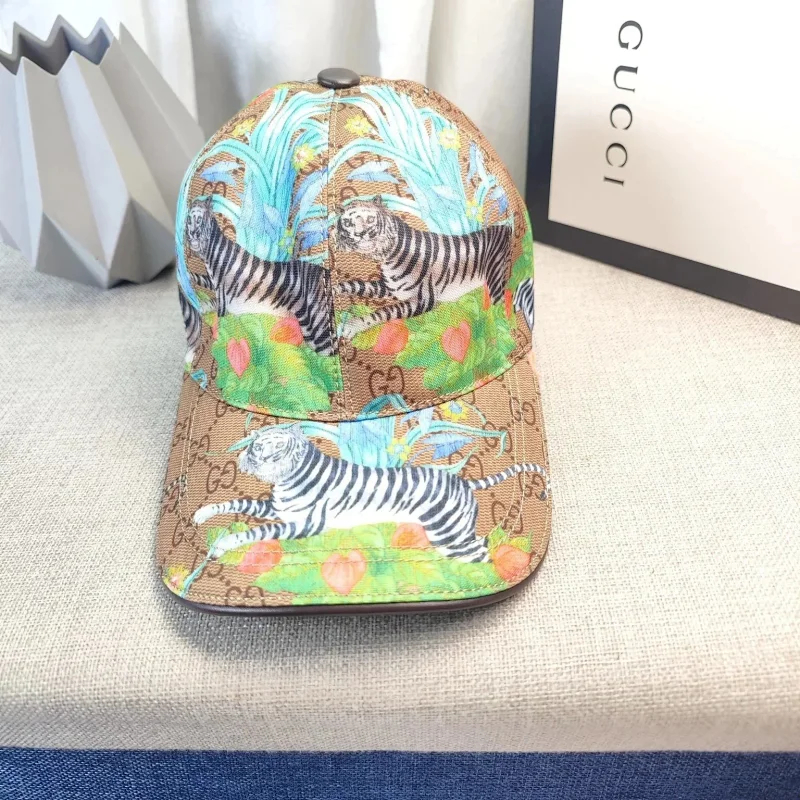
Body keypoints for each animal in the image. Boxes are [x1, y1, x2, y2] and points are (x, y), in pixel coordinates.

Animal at [181, 196, 334, 356]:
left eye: (200, 220)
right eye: (189, 220)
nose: (192, 235)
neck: (214, 254)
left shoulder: (223, 297)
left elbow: (218, 312)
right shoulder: (215, 286)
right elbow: (200, 280)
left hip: (317, 324)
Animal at [193, 425, 549, 564]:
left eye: (256, 449)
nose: (241, 457)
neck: (288, 478)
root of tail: (463, 482)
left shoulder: (303, 524)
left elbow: (256, 531)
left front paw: (221, 544)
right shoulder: (276, 509)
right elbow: (238, 501)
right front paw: (201, 514)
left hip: (446, 532)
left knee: (478, 554)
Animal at [333, 198, 513, 341]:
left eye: (370, 219)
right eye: (347, 223)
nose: (359, 235)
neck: (392, 256)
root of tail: (505, 227)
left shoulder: (424, 300)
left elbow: (385, 311)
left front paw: (353, 325)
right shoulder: (390, 288)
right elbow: (357, 284)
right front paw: (333, 289)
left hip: (494, 276)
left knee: (499, 308)